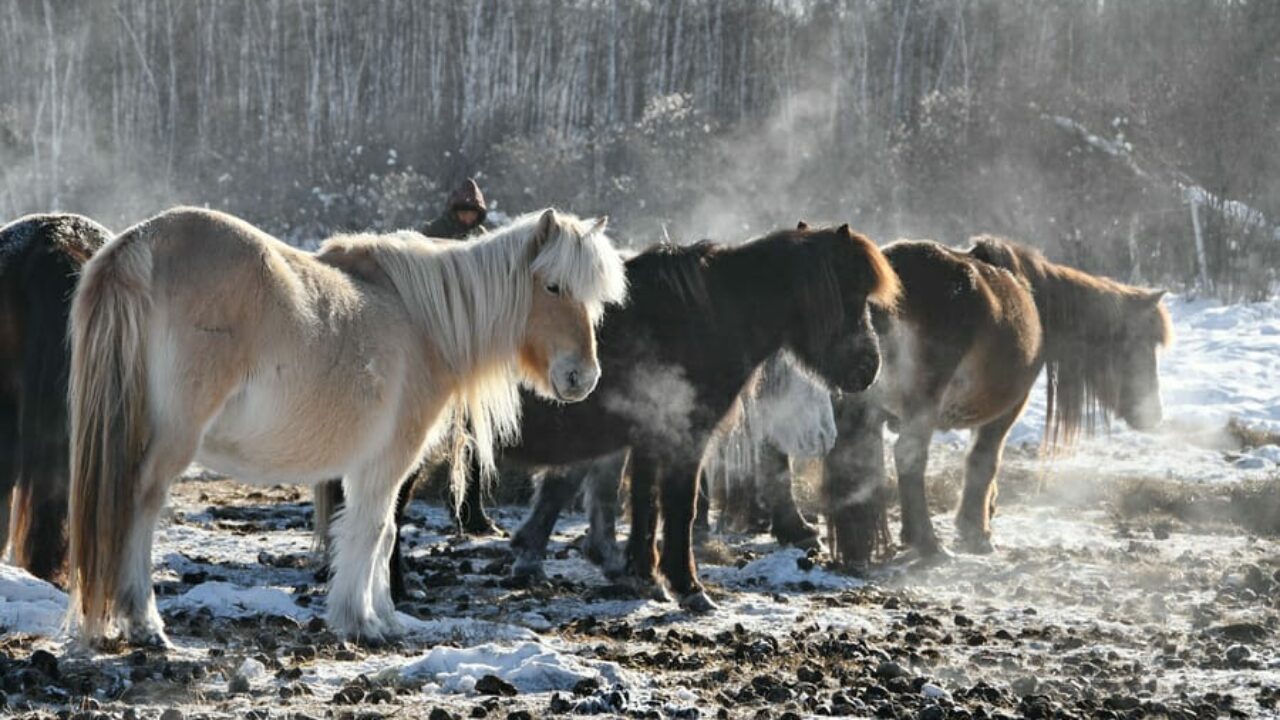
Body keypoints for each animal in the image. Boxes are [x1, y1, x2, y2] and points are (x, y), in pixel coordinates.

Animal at [64, 203, 624, 645]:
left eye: (595, 300)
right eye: (552, 286)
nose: (583, 377)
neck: (424, 323)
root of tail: (141, 241)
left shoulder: (365, 467)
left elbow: (377, 531)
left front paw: (382, 615)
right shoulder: (388, 462)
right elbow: (377, 529)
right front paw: (363, 620)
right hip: (169, 442)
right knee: (140, 502)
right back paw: (145, 623)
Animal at [819, 235, 1172, 561]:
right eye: (1142, 344)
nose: (1153, 415)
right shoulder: (1009, 407)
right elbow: (984, 460)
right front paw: (976, 530)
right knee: (909, 456)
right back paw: (928, 544)